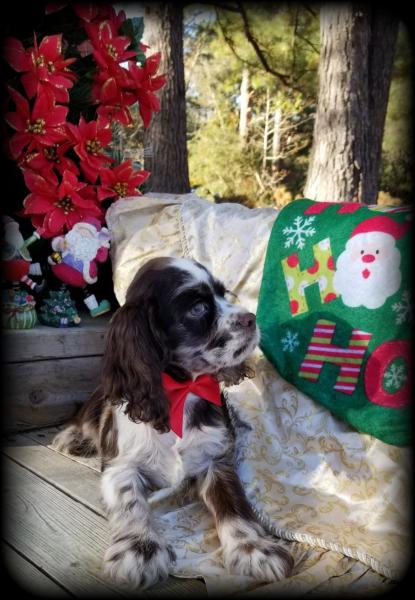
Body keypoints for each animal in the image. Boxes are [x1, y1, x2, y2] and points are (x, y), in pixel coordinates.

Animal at [52, 255, 292, 588]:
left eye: (223, 293)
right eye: (197, 308)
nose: (250, 318)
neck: (182, 393)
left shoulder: (215, 459)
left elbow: (234, 506)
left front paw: (254, 549)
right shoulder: (119, 464)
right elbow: (130, 501)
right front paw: (140, 549)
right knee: (83, 416)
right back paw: (69, 439)